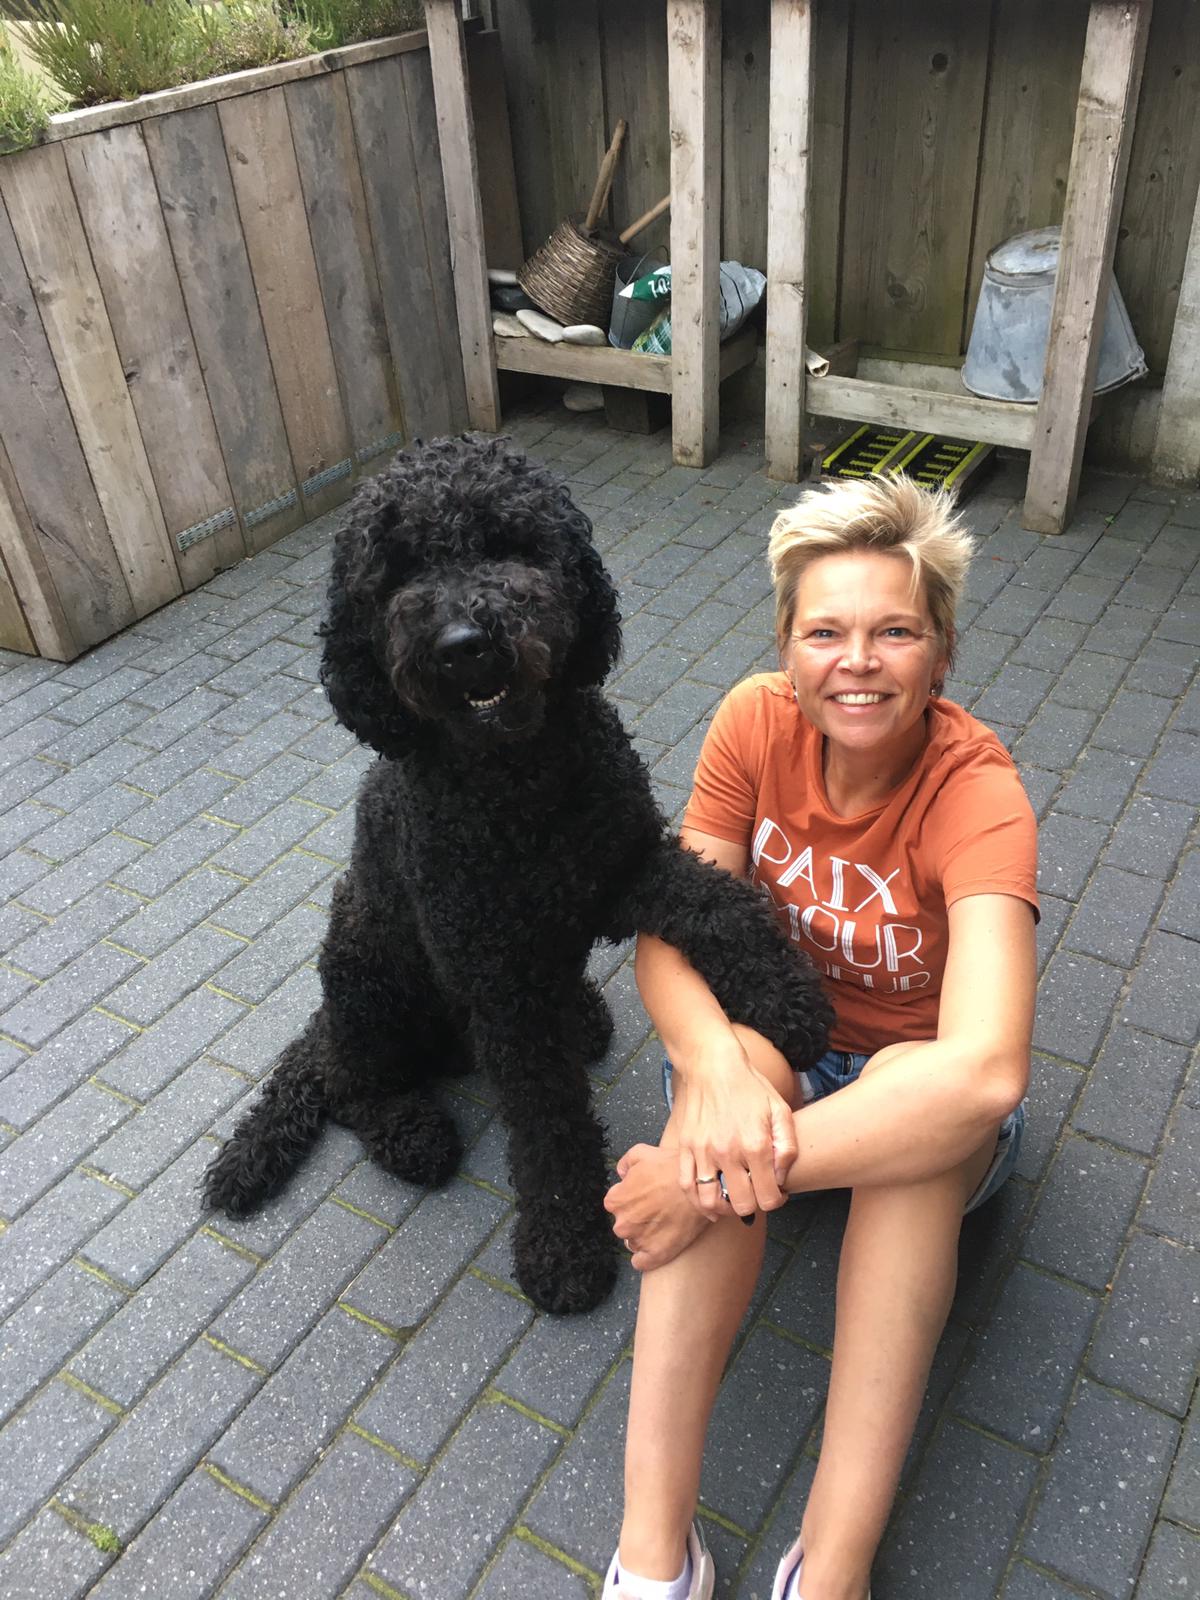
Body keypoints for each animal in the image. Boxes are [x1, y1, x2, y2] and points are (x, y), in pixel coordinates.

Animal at [203, 435, 831, 1313]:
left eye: (507, 541)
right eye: (396, 572)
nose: (464, 642)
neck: (519, 787)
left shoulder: (623, 865)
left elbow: (719, 904)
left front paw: (788, 999)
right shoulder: (502, 985)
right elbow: (545, 1117)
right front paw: (564, 1243)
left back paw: (583, 1015)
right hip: (365, 964)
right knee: (351, 1079)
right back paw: (411, 1133)